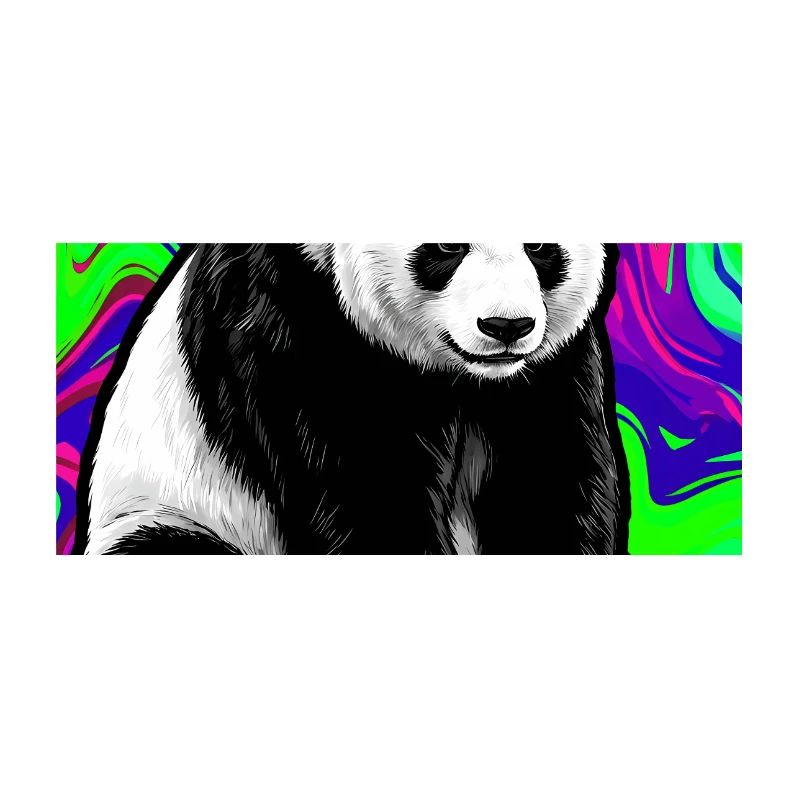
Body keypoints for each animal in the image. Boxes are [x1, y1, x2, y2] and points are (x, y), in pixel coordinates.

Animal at [74, 243, 630, 555]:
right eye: (446, 246)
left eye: (540, 247)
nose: (507, 327)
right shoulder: (292, 319)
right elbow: (366, 482)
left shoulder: (548, 368)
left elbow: (548, 477)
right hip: (173, 510)